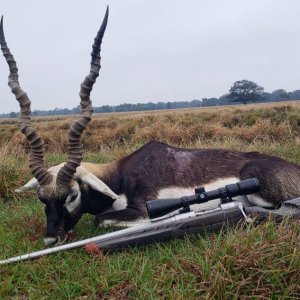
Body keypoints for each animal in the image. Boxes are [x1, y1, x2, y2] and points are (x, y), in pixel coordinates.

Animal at [0, 9, 300, 246]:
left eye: (72, 195)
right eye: (41, 198)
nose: (52, 238)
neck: (118, 178)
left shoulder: (143, 209)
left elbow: (101, 220)